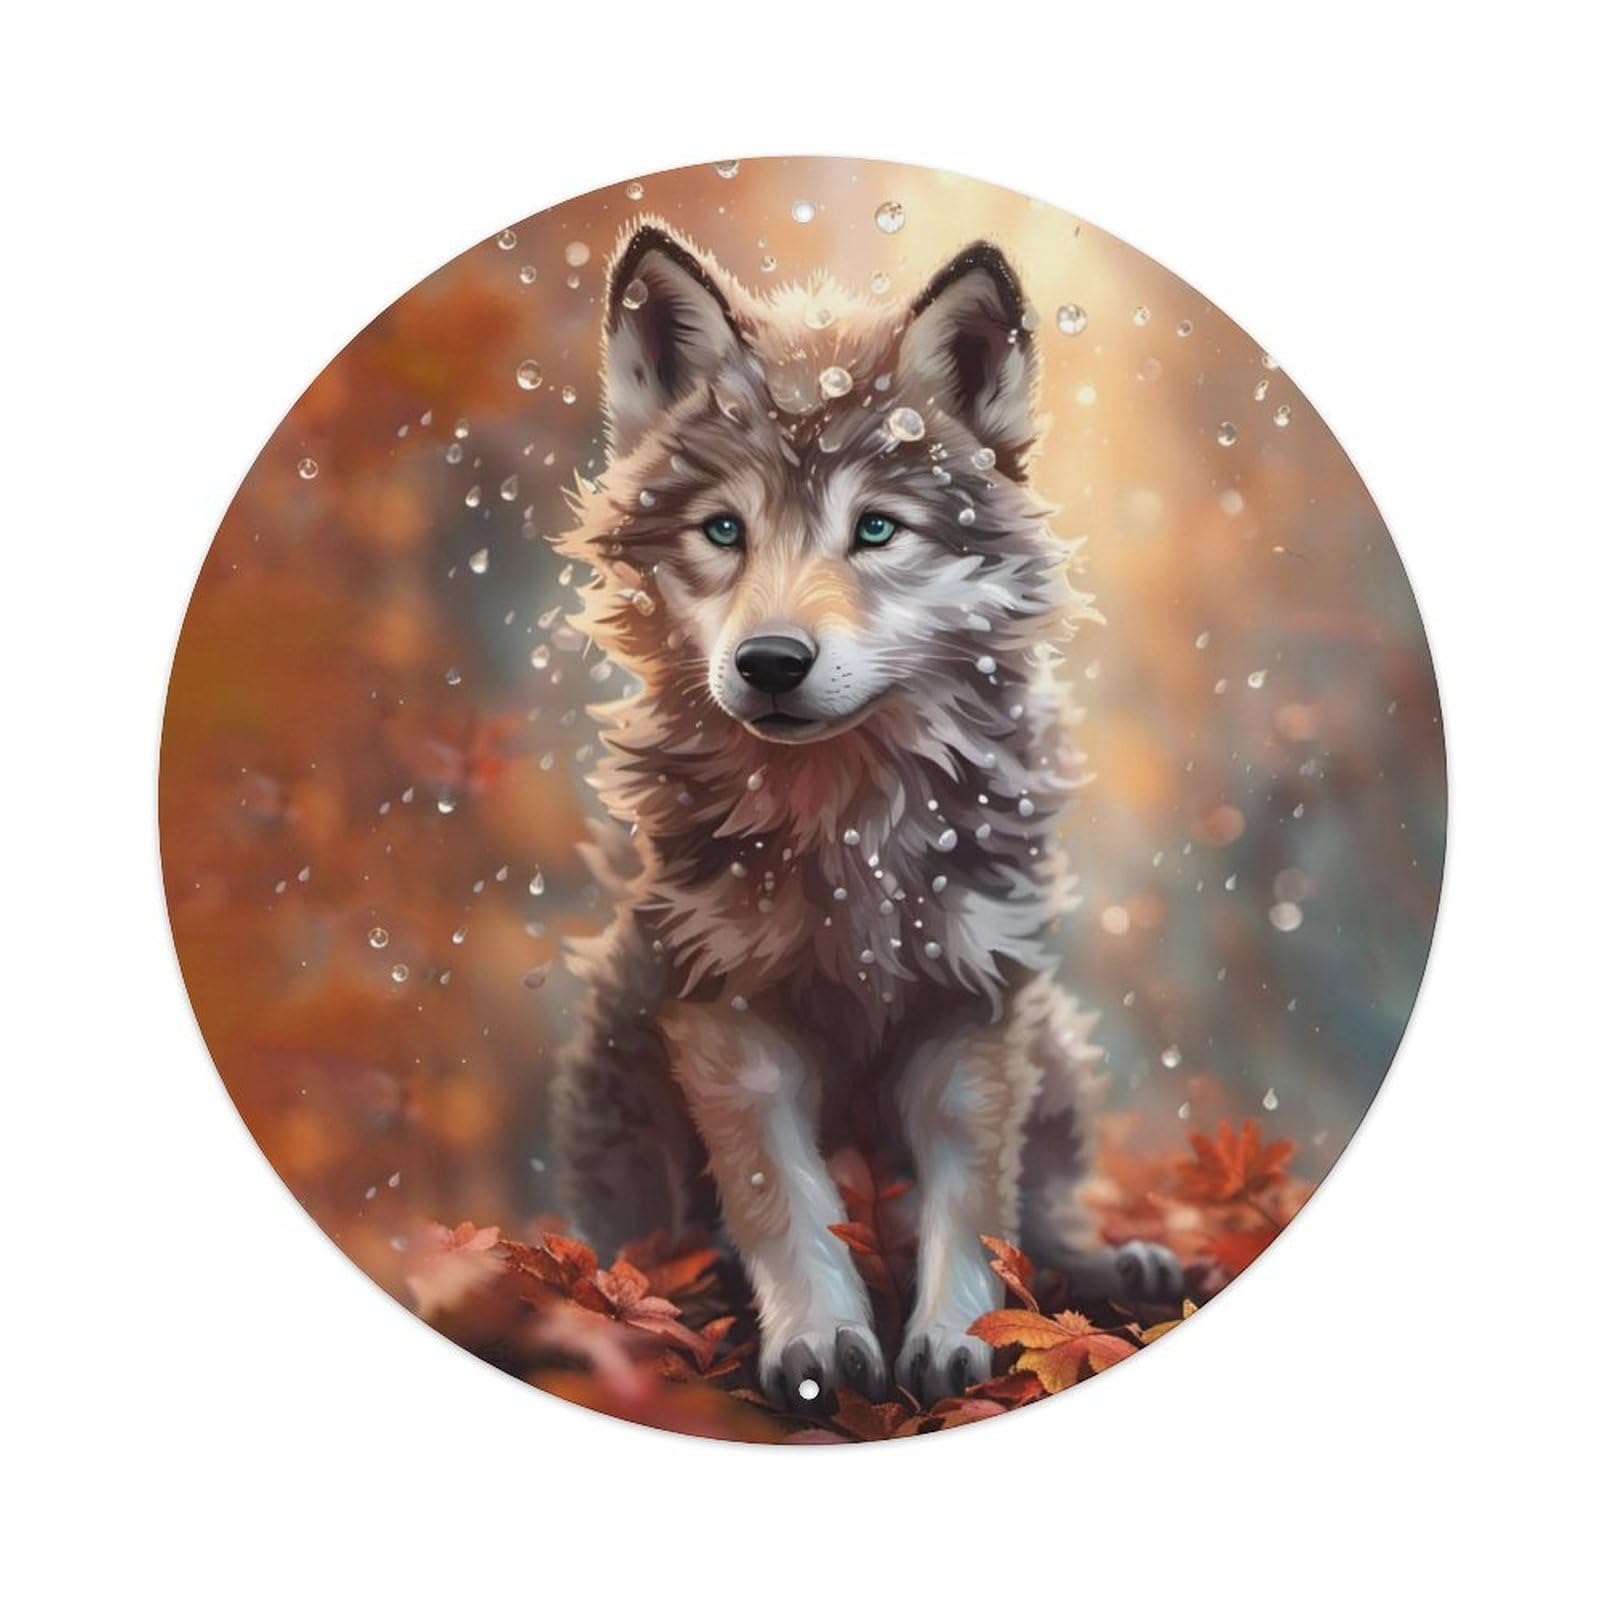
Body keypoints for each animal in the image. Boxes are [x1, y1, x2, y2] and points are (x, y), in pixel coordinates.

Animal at [550, 221, 1181, 1410]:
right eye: (724, 530)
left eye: (877, 529)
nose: (769, 662)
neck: (847, 833)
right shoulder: (723, 1009)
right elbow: (781, 1195)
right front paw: (820, 1344)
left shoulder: (974, 1006)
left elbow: (973, 1203)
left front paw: (956, 1340)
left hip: (1050, 1040)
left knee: (1050, 1203)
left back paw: (1111, 1262)